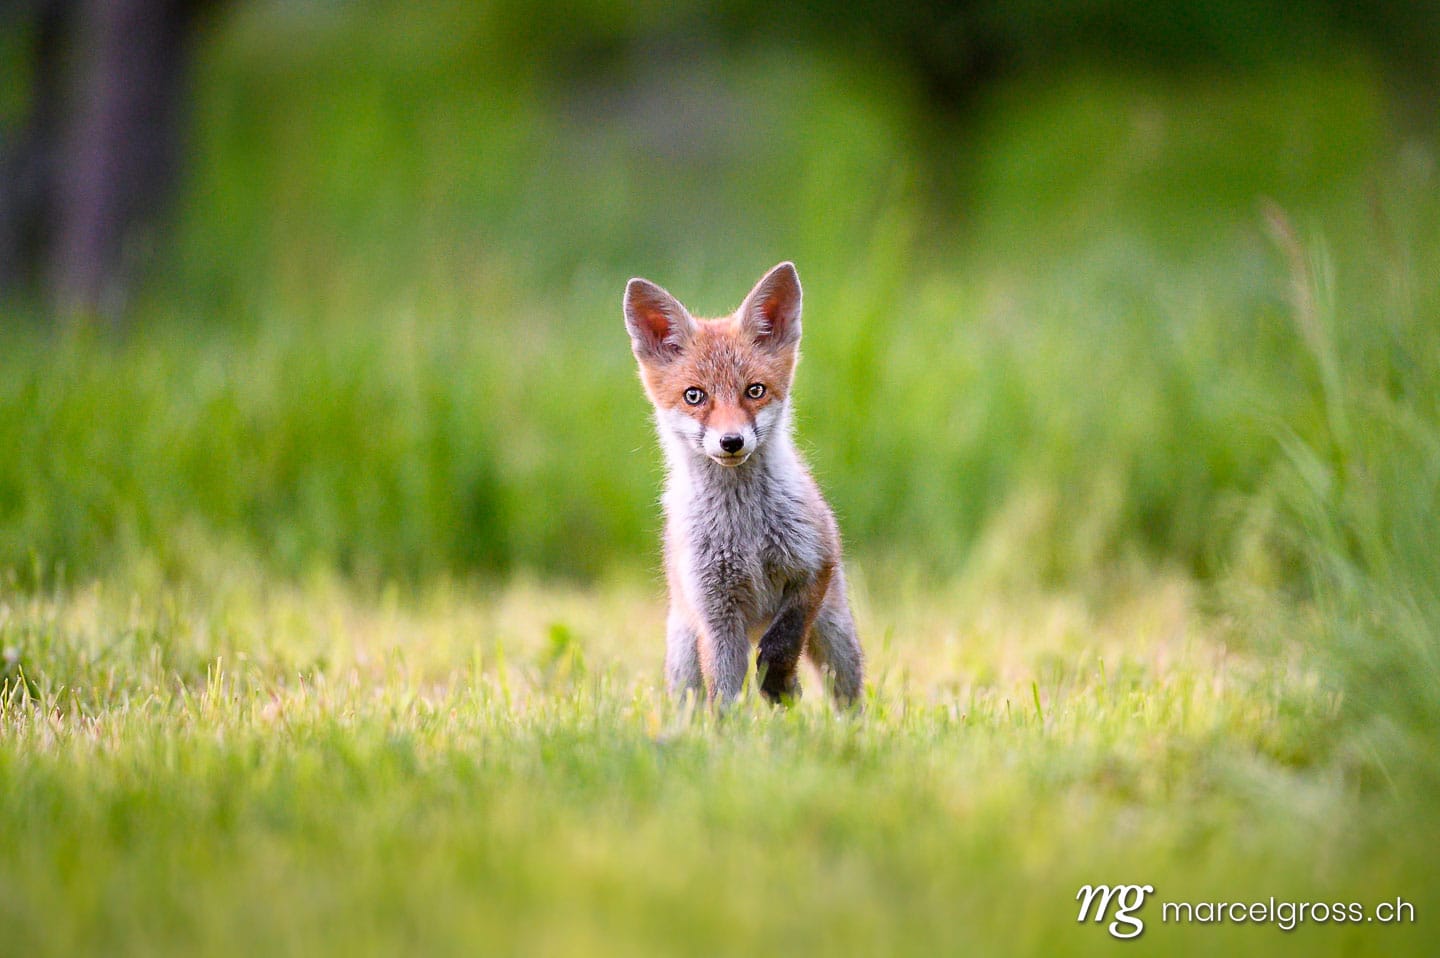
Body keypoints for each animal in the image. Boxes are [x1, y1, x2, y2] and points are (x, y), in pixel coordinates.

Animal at [623, 261, 864, 708]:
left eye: (755, 390)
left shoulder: (815, 563)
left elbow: (783, 641)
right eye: (694, 396)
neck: (744, 529)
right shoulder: (716, 613)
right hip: (684, 658)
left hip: (837, 638)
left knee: (847, 697)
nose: (731, 441)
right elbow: (724, 693)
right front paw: (732, 727)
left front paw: (778, 682)